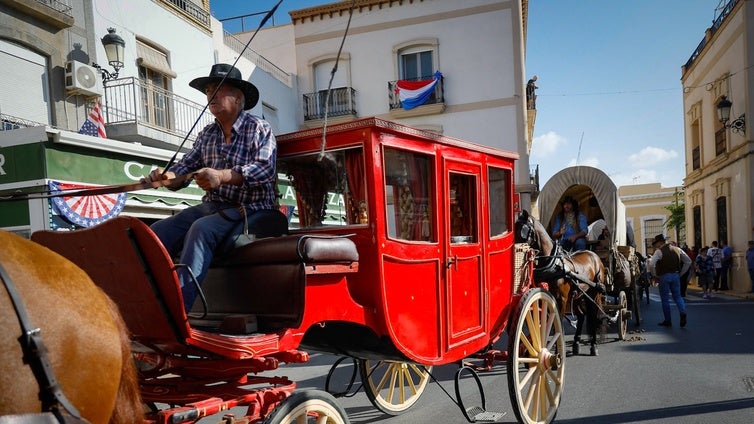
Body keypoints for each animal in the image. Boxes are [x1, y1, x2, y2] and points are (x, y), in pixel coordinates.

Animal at [512, 211, 604, 354]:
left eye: (523, 230)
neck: (553, 263)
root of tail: (594, 255)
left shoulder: (561, 299)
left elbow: (556, 324)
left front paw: (556, 351)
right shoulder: (544, 298)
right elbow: (545, 323)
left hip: (593, 293)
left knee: (593, 315)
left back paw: (594, 345)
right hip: (577, 295)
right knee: (582, 315)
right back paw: (576, 343)